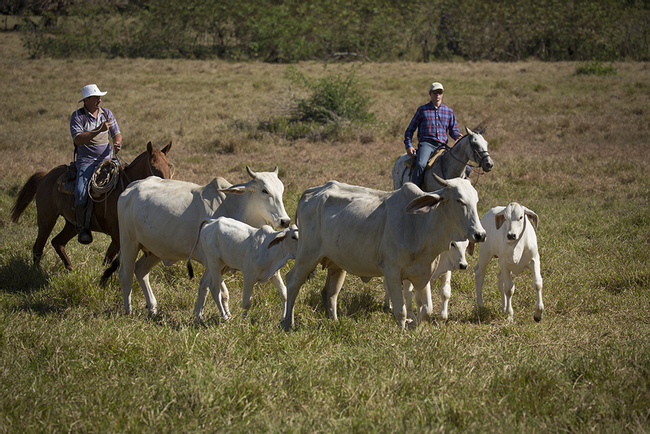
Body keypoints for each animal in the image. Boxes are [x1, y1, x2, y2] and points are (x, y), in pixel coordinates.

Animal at [11, 142, 172, 270]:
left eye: (169, 165)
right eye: (153, 166)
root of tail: (45, 176)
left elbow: (109, 259)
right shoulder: (117, 233)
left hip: (72, 225)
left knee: (57, 242)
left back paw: (70, 268)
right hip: (46, 220)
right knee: (38, 247)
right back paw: (36, 271)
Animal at [114, 166, 292, 318]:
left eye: (282, 190)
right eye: (264, 191)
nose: (285, 221)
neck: (233, 207)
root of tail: (131, 188)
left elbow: (205, 288)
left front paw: (200, 314)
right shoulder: (211, 261)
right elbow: (220, 291)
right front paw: (221, 315)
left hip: (155, 251)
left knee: (141, 271)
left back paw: (152, 308)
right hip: (129, 242)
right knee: (126, 275)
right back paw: (128, 310)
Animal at [280, 175, 484, 330]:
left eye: (476, 201)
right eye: (459, 200)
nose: (480, 234)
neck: (420, 224)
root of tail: (311, 192)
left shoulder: (423, 273)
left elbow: (426, 309)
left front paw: (413, 325)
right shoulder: (392, 272)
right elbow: (401, 310)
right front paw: (402, 330)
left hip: (336, 263)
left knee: (330, 292)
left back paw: (334, 321)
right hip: (307, 254)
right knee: (293, 281)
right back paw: (287, 323)